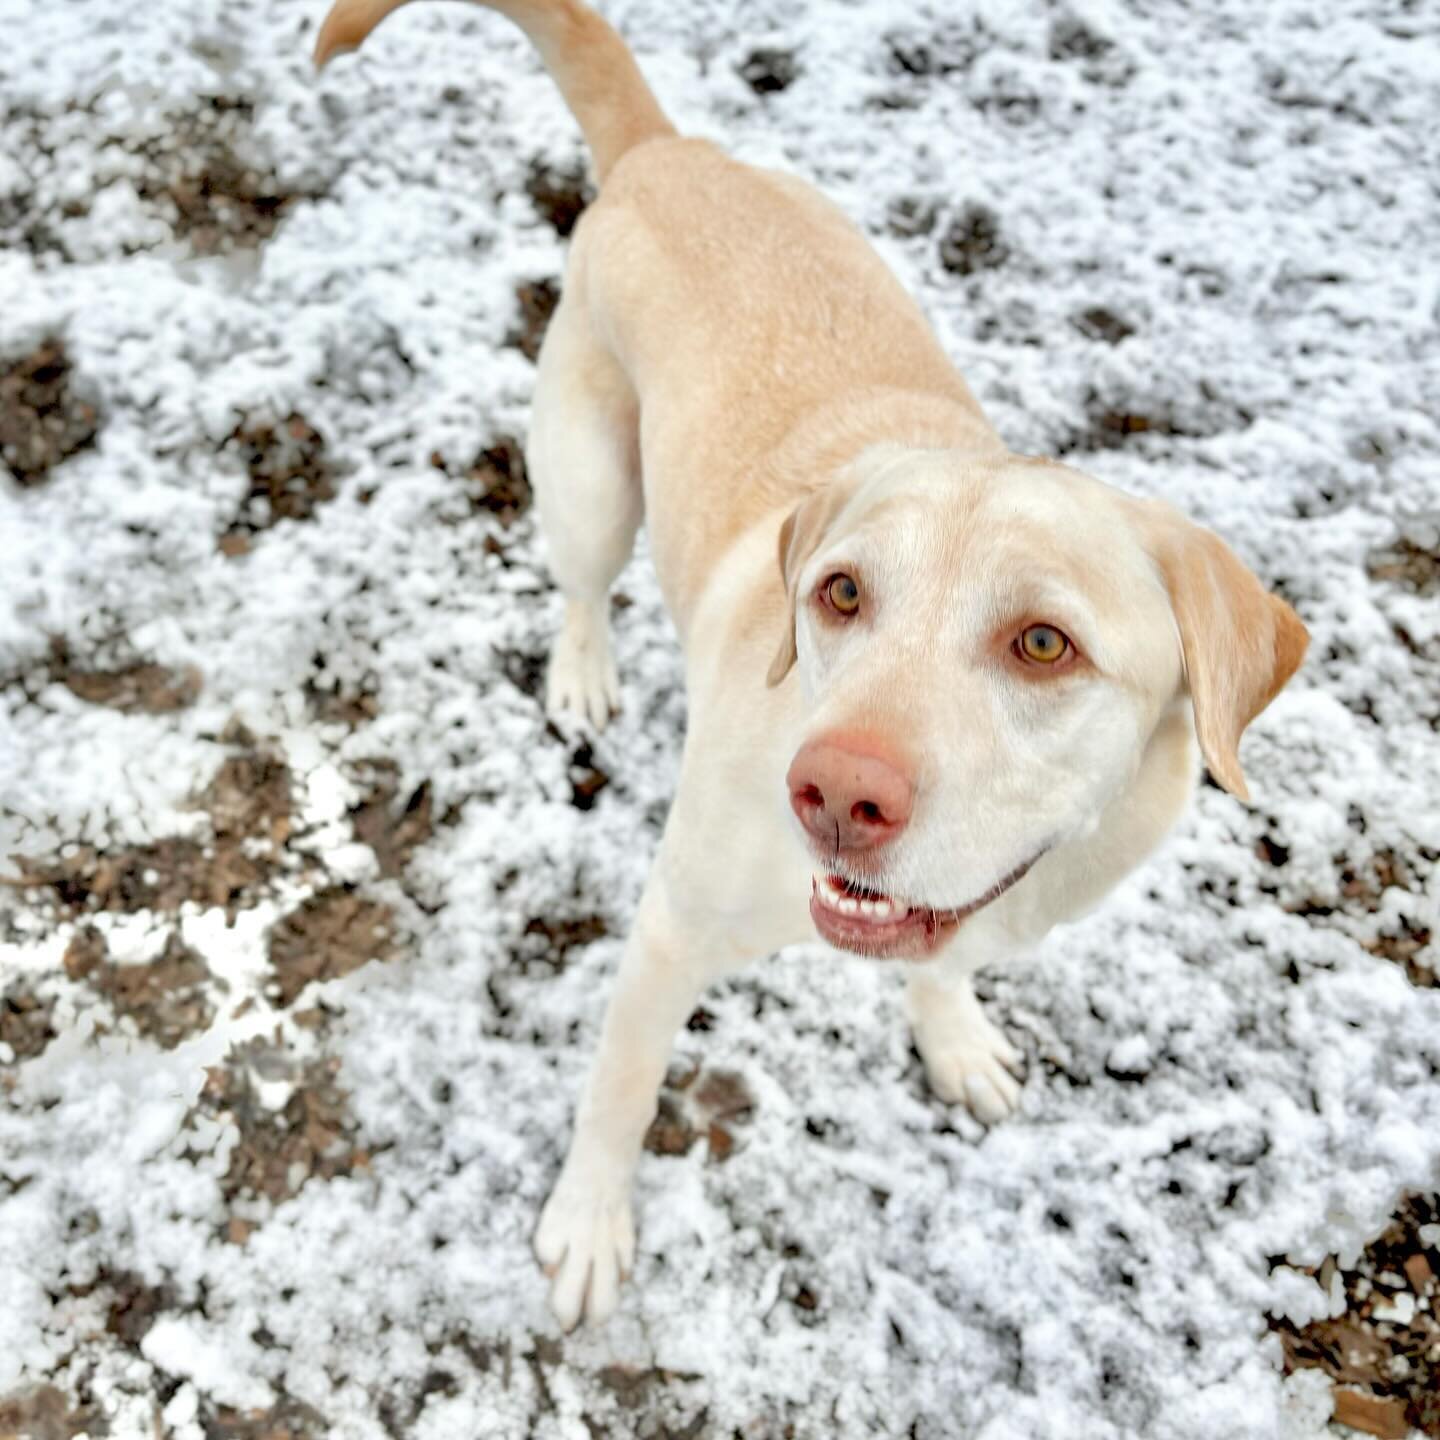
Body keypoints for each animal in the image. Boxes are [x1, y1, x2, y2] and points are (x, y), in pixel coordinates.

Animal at [312, 0, 1307, 1324]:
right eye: (841, 594)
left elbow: (942, 966)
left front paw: (952, 1037)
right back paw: (582, 671)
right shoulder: (668, 935)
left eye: (1044, 643)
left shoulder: (968, 912)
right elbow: (619, 1090)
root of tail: (671, 153)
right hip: (589, 479)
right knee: (581, 581)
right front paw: (587, 1226)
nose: (834, 795)